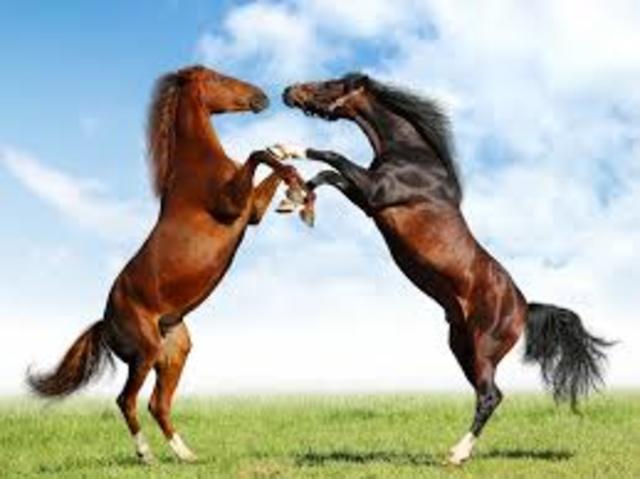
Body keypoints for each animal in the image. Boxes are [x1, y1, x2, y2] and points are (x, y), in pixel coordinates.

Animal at [26, 65, 306, 464]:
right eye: (218, 78)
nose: (262, 97)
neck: (197, 164)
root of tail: (105, 322)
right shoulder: (232, 204)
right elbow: (257, 155)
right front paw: (294, 185)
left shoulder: (250, 211)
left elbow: (266, 162)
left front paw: (292, 171)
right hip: (145, 354)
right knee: (126, 400)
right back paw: (146, 455)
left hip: (174, 352)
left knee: (158, 404)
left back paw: (186, 454)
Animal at [281, 73, 612, 465]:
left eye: (330, 84)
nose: (287, 92)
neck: (412, 157)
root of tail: (523, 307)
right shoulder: (367, 200)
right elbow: (327, 174)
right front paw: (294, 200)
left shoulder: (376, 193)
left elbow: (332, 158)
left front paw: (286, 151)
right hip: (461, 346)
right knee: (487, 394)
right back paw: (458, 451)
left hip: (483, 348)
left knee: (490, 396)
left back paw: (457, 454)